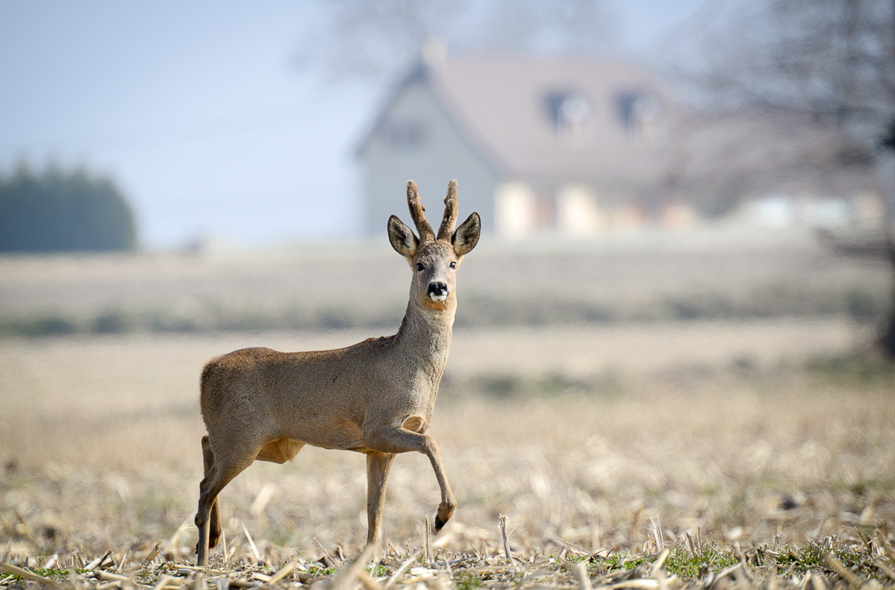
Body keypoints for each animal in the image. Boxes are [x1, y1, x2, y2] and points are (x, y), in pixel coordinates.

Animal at [192, 180, 480, 568]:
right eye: (419, 264)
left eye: (452, 263)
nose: (438, 287)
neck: (411, 367)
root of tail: (207, 370)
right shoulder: (378, 426)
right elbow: (431, 443)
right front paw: (442, 516)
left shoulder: (378, 448)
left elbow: (375, 508)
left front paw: (369, 557)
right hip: (242, 438)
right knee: (205, 488)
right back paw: (201, 560)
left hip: (269, 443)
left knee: (205, 451)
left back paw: (212, 539)